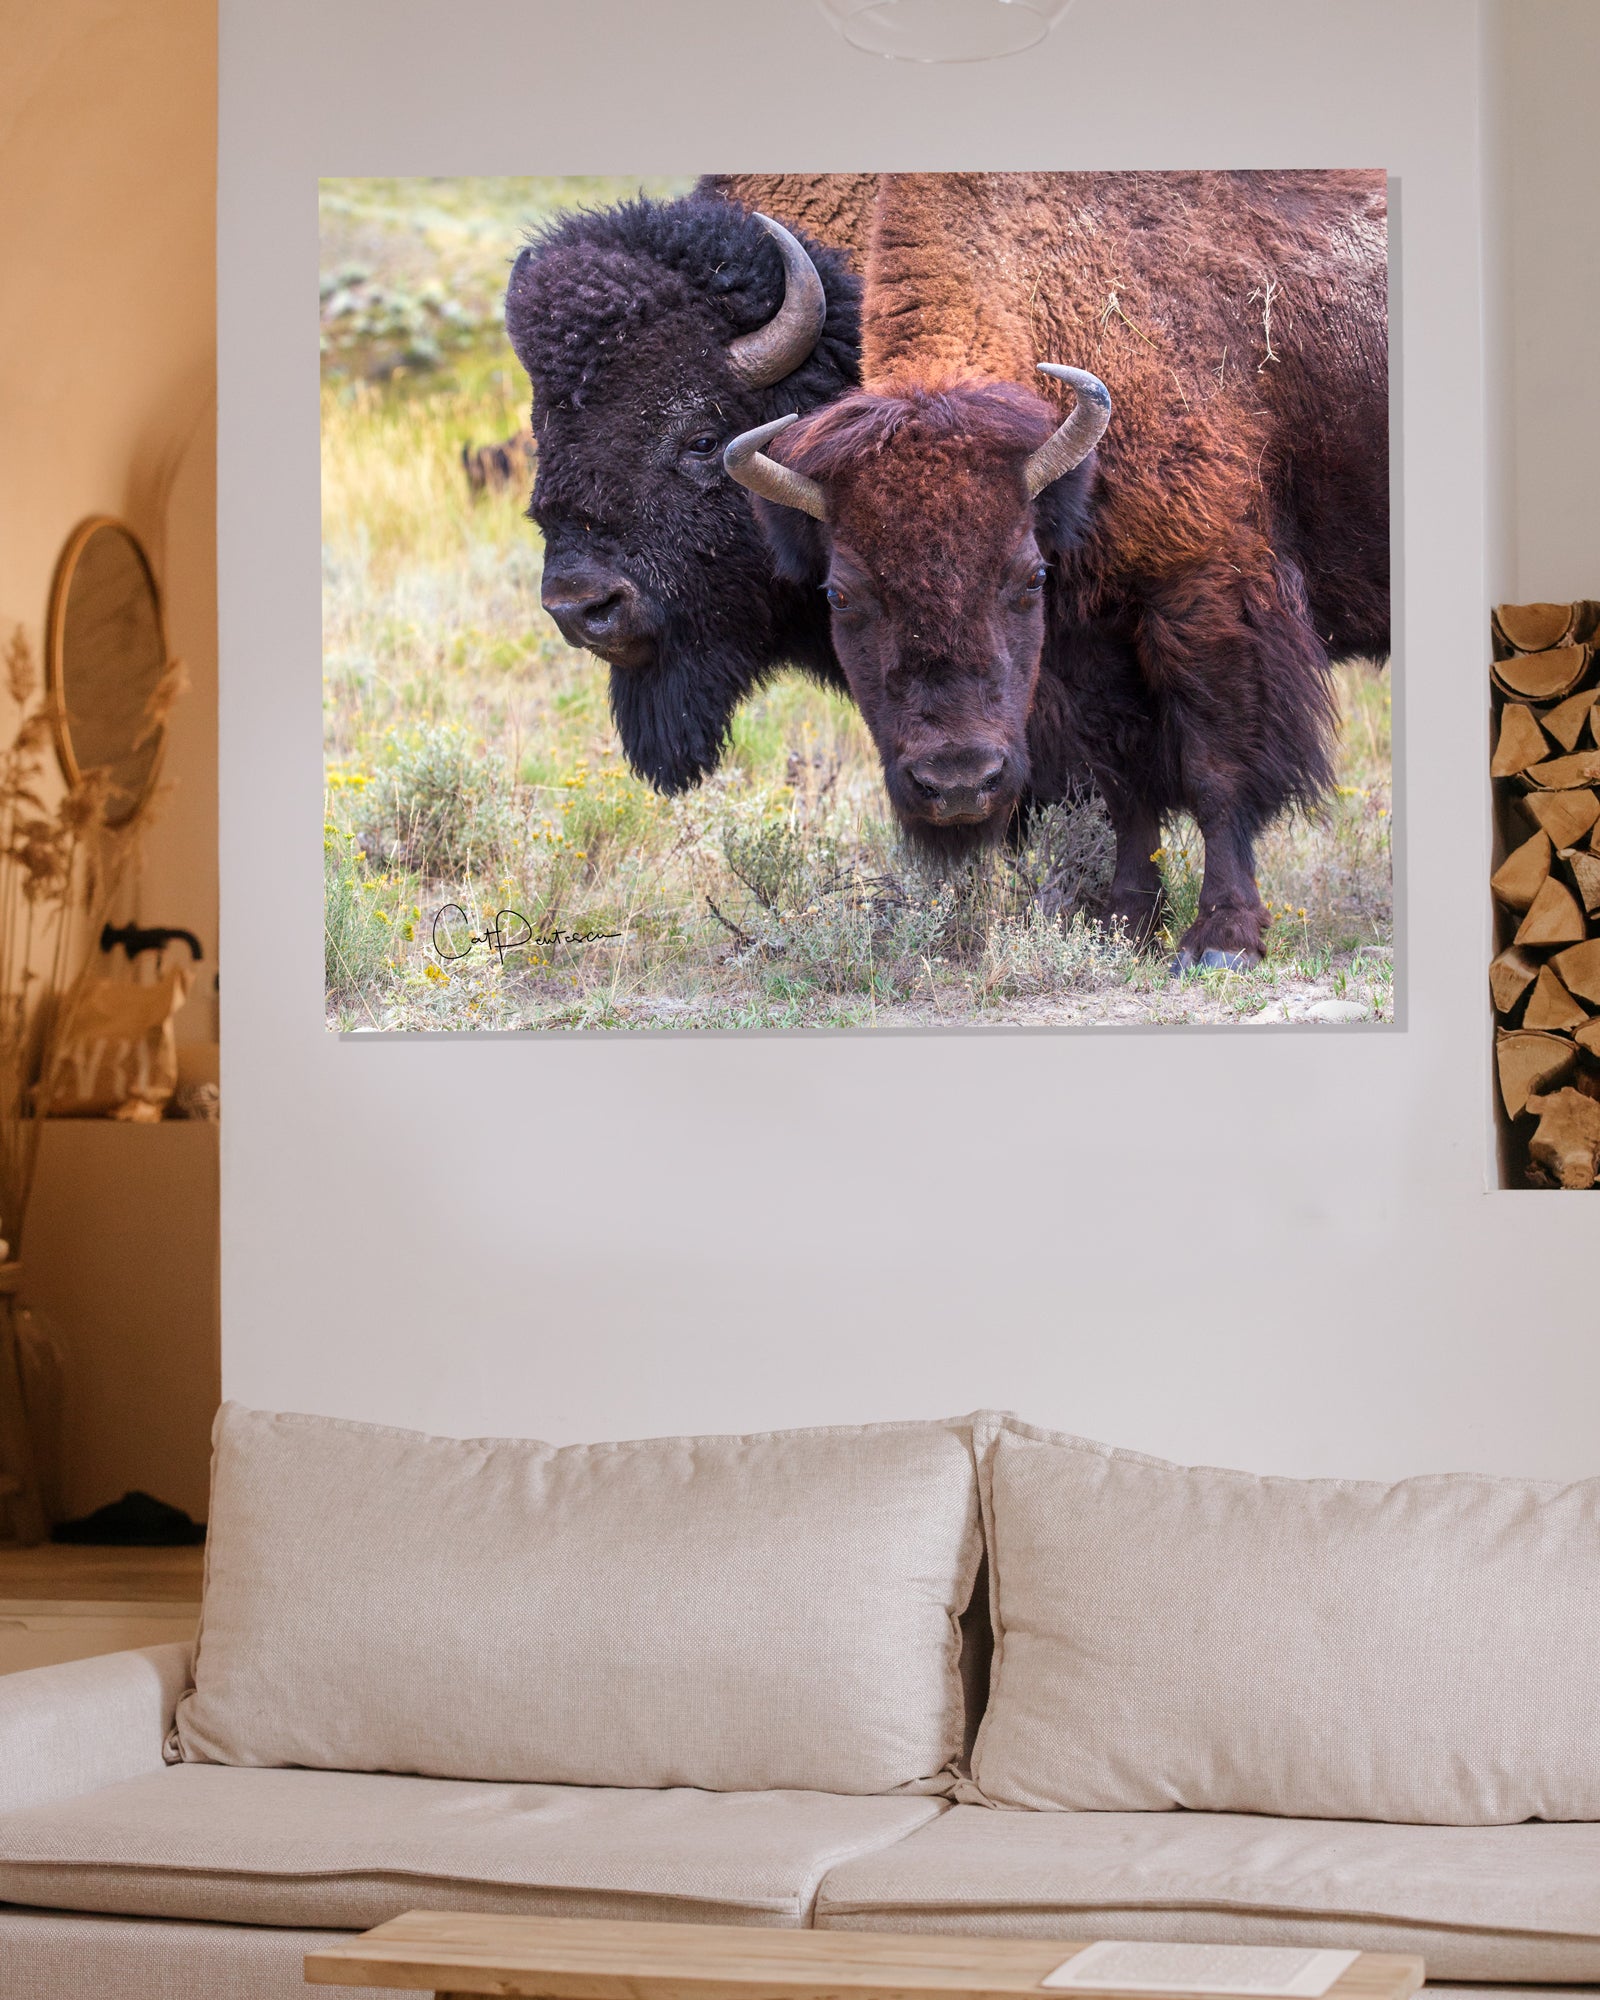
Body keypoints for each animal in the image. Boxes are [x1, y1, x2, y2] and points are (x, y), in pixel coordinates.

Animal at [728, 172, 1384, 968]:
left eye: (1027, 576)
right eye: (839, 594)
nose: (957, 783)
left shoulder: (1203, 589)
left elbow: (1214, 766)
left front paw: (1222, 938)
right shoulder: (1081, 645)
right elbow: (1118, 781)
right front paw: (1121, 923)